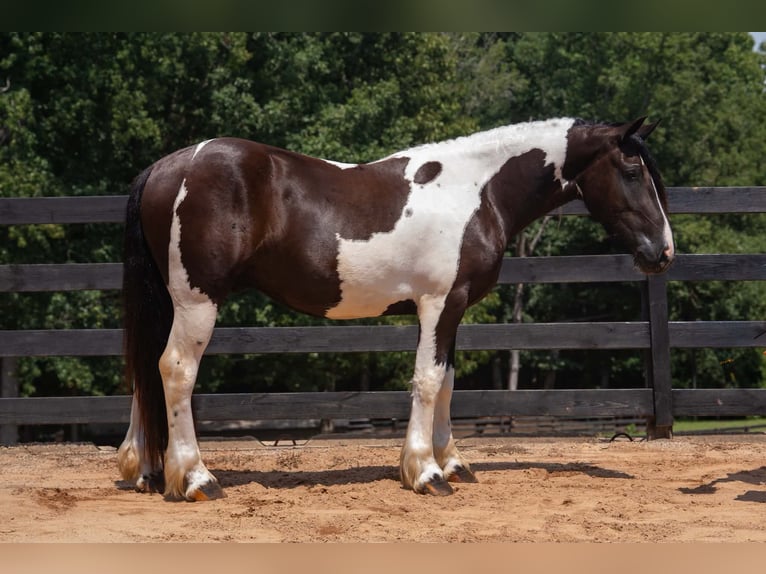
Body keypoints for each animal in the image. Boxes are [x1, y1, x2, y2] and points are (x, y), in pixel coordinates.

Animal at [116, 117, 674, 500]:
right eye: (631, 170)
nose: (663, 252)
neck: (476, 190)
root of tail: (168, 167)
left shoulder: (455, 306)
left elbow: (447, 380)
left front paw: (453, 463)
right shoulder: (438, 303)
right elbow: (427, 381)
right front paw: (425, 472)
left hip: (171, 302)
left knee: (146, 370)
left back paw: (143, 469)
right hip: (198, 300)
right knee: (175, 370)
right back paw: (195, 478)